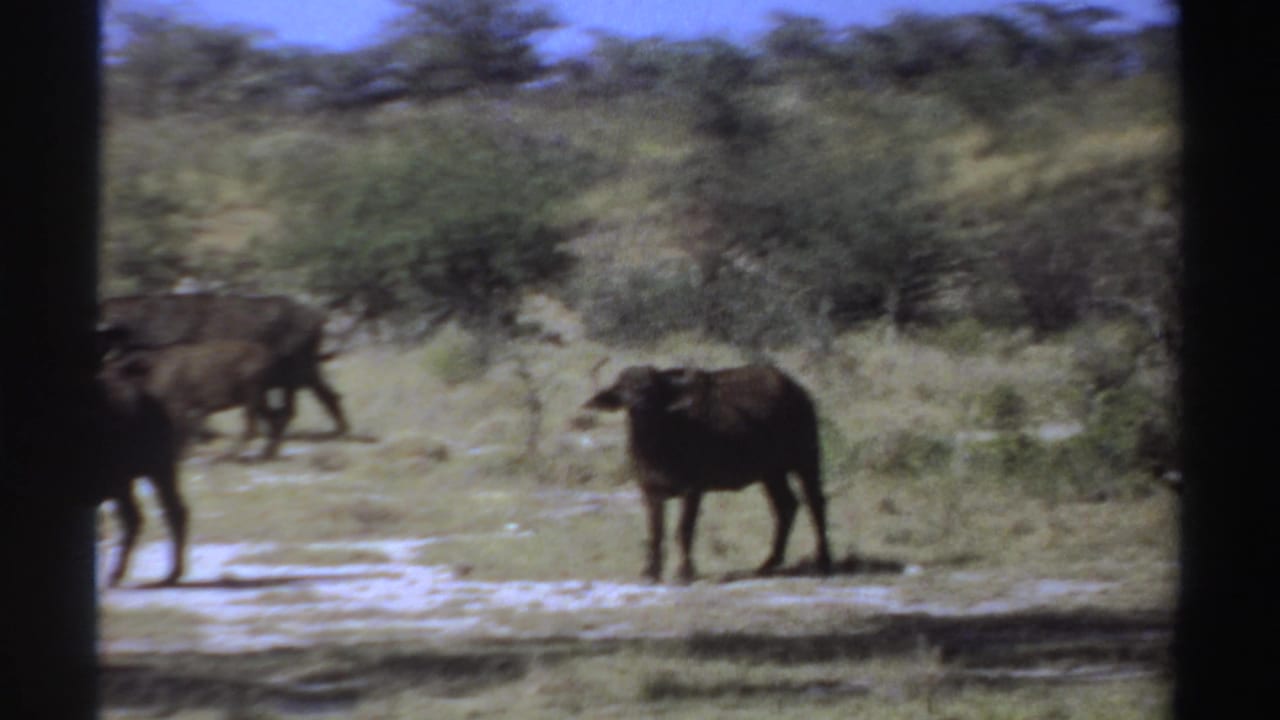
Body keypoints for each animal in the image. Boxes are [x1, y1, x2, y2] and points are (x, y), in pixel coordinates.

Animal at [100, 293, 348, 439]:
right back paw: (339, 430)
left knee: (295, 407)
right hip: (306, 373)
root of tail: (315, 316)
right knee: (329, 396)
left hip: (296, 374)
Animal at [584, 364, 833, 583]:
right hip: (772, 473)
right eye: (625, 388)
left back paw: (823, 561)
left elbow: (684, 529)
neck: (657, 444)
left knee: (815, 502)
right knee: (786, 507)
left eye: (652, 388)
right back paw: (768, 563)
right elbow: (655, 532)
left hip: (806, 460)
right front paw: (650, 572)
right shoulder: (650, 490)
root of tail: (798, 391)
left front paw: (684, 572)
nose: (639, 404)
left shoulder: (693, 490)